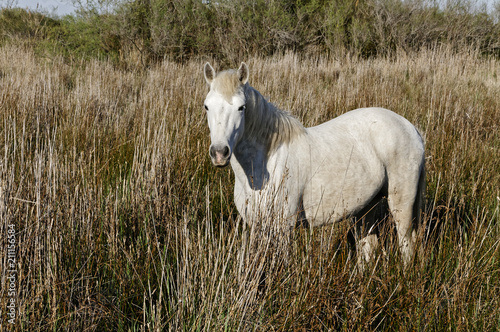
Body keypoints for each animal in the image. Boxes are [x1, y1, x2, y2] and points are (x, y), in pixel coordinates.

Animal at [203, 61, 426, 264]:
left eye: (241, 107)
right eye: (206, 106)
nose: (219, 153)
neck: (263, 166)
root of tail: (410, 127)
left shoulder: (284, 226)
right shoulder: (256, 225)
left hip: (402, 202)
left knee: (406, 243)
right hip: (366, 207)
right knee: (368, 247)